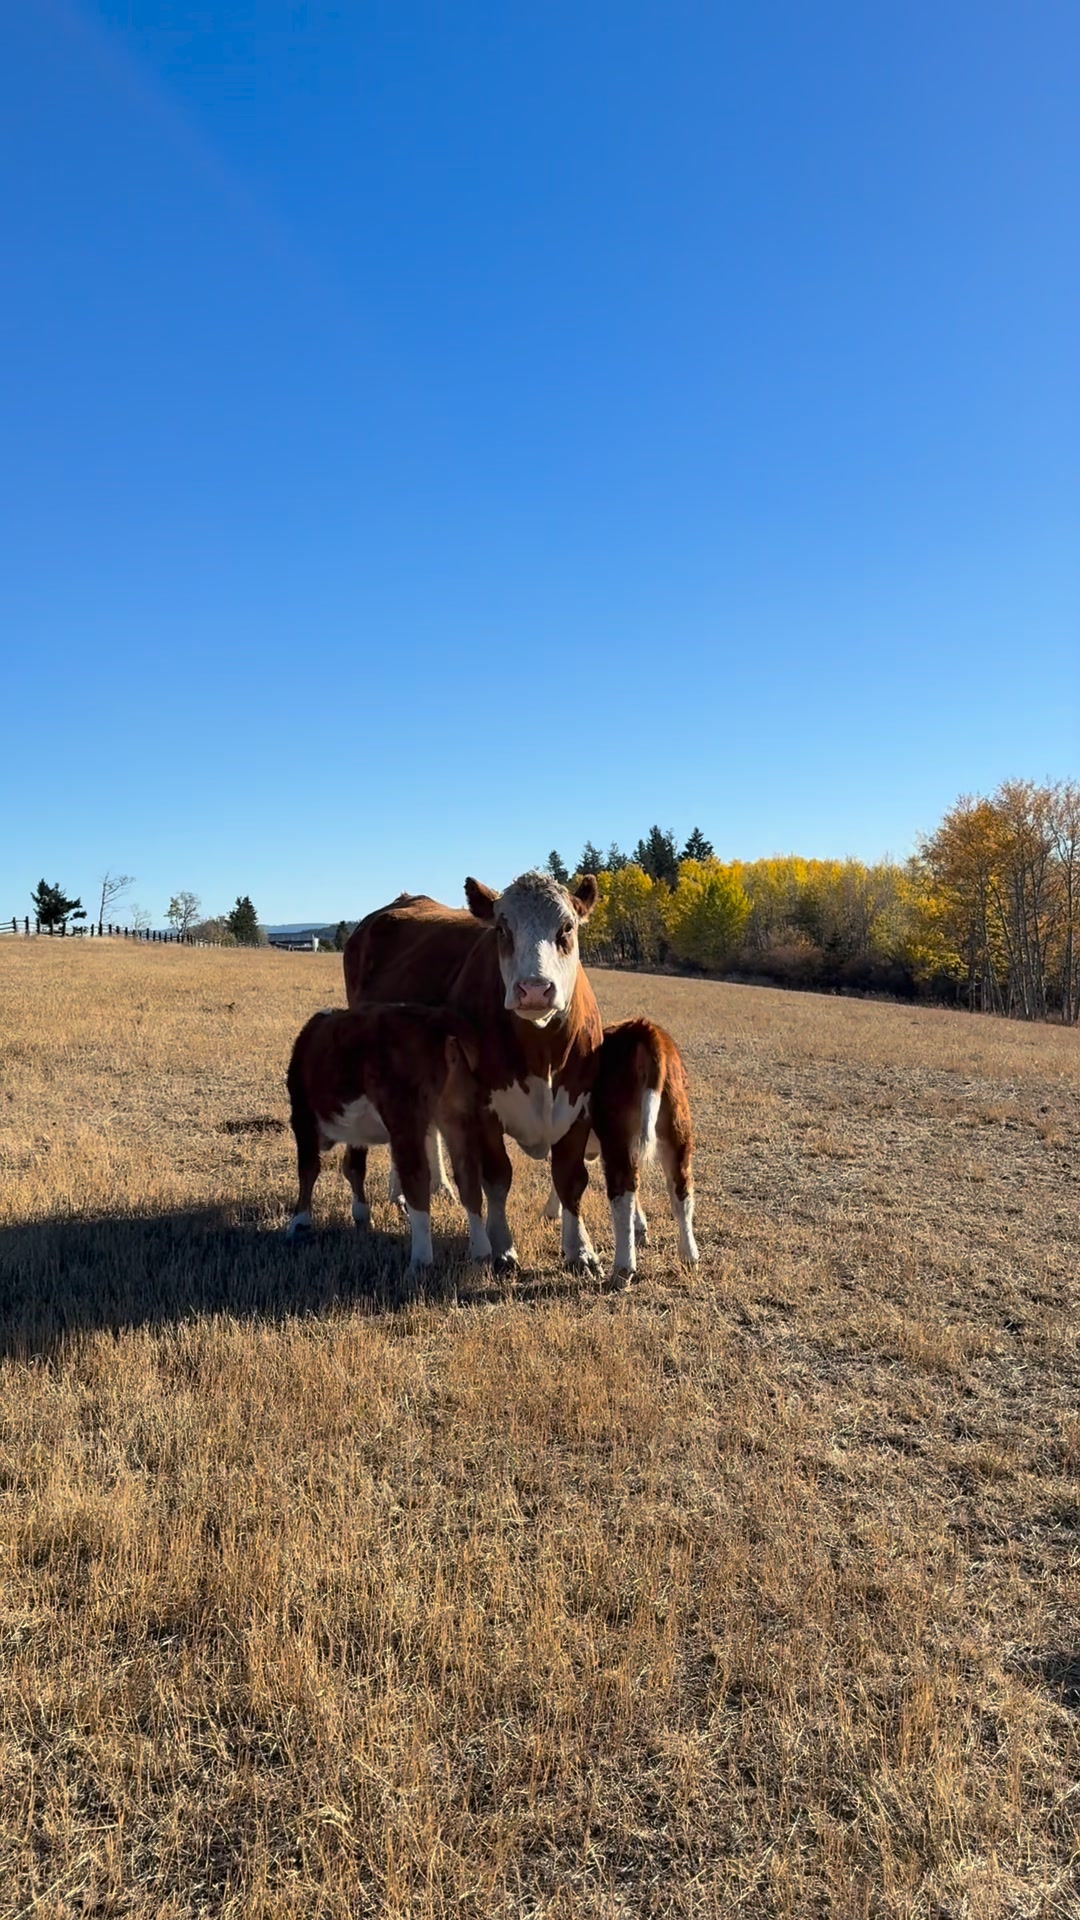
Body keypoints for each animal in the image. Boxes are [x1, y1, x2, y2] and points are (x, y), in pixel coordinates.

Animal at [284, 1005, 489, 1269]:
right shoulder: (356, 1131)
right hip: (459, 1111)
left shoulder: (302, 1116)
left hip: (404, 1117)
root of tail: (438, 1021)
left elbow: (308, 1168)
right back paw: (481, 1251)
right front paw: (361, 1215)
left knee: (417, 1177)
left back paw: (420, 1260)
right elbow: (354, 1167)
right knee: (468, 1174)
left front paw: (299, 1223)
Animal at [343, 871, 604, 1272]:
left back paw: (437, 1187)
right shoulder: (483, 1109)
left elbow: (570, 1180)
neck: (542, 1054)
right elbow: (497, 1178)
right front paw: (502, 1245)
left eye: (567, 928)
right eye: (502, 929)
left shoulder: (577, 1107)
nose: (534, 990)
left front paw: (582, 1250)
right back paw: (399, 1196)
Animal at [541, 1018, 698, 1284]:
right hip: (677, 1130)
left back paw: (623, 1268)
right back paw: (689, 1255)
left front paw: (553, 1213)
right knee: (680, 1189)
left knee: (622, 1191)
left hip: (616, 1135)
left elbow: (562, 1176)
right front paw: (641, 1227)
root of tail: (644, 1029)